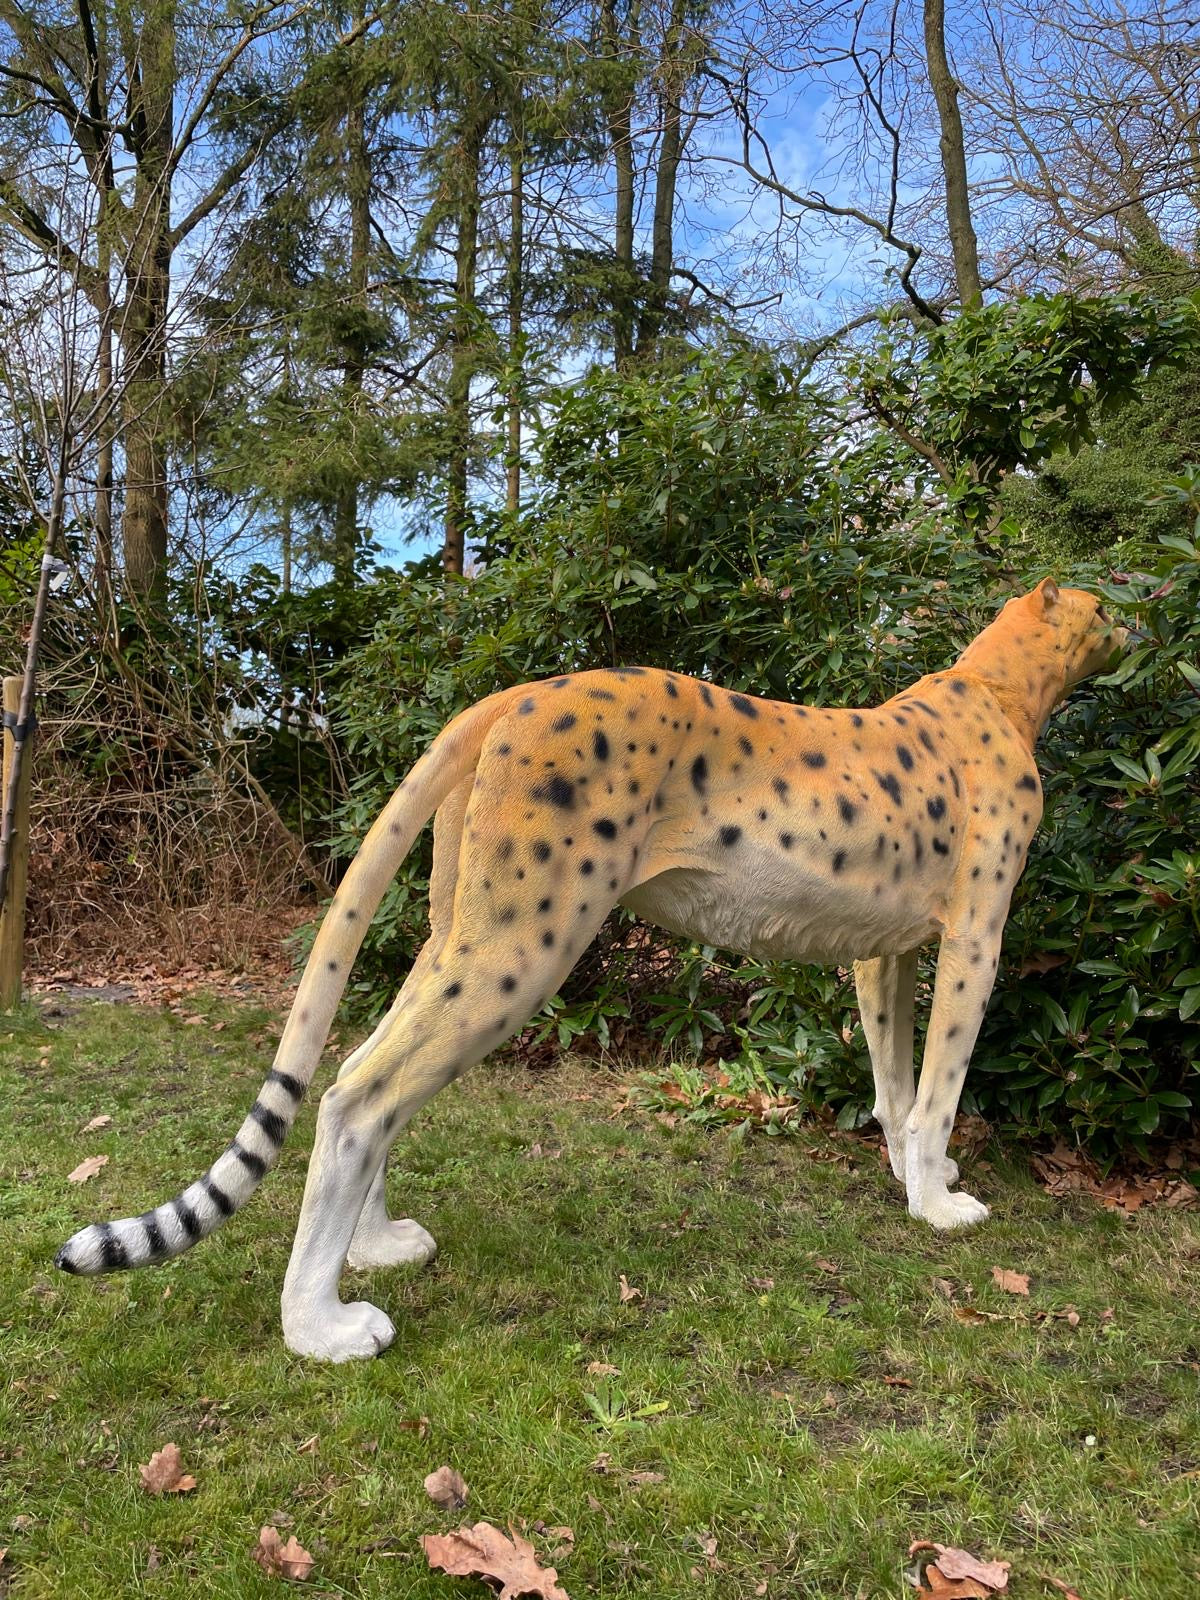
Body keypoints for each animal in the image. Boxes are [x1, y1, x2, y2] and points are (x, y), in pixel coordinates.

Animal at [56, 578, 1126, 1361]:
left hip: (460, 931)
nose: (1140, 618)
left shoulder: (885, 953)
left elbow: (897, 1082)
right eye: (1105, 605)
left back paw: (375, 1244)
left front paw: (913, 1175)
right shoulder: (975, 937)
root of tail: (518, 689)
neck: (999, 687)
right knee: (362, 1095)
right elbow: (942, 1081)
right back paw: (319, 1327)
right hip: (526, 942)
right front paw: (941, 1206)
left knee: (362, 1072)